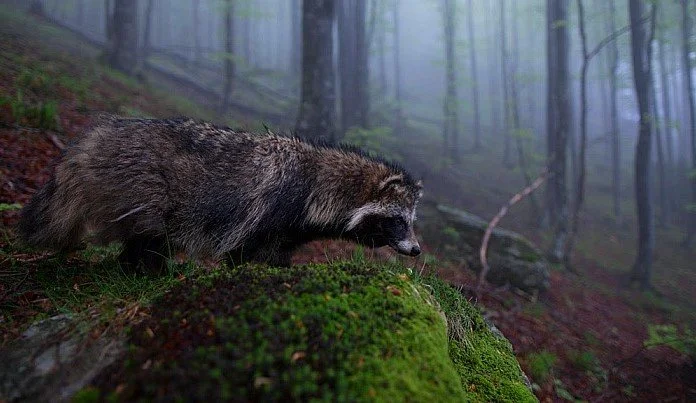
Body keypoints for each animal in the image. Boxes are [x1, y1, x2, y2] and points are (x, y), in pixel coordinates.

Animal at [18, 116, 422, 270]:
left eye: (410, 221)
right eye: (398, 222)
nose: (417, 249)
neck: (320, 183)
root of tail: (96, 140)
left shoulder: (291, 227)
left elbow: (278, 254)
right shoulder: (269, 212)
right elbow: (244, 254)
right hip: (145, 187)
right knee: (150, 237)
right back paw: (146, 270)